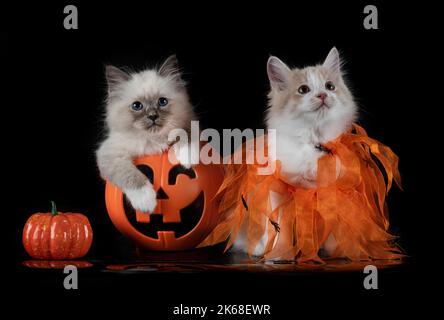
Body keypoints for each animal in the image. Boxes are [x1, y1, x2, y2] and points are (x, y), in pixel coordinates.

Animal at [96, 55, 195, 212]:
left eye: (162, 102)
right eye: (137, 106)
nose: (153, 116)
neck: (153, 139)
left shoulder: (189, 120)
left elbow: (186, 134)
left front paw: (187, 158)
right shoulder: (110, 154)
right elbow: (131, 176)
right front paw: (146, 201)